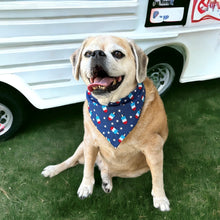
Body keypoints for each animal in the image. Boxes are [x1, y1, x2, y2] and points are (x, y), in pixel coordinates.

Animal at [42, 35, 171, 211]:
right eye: (87, 53)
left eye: (117, 53)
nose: (96, 53)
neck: (112, 107)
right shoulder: (89, 142)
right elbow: (87, 169)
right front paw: (85, 186)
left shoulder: (154, 148)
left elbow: (157, 176)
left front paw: (160, 197)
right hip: (82, 147)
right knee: (72, 161)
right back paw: (53, 169)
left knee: (105, 170)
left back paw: (106, 181)